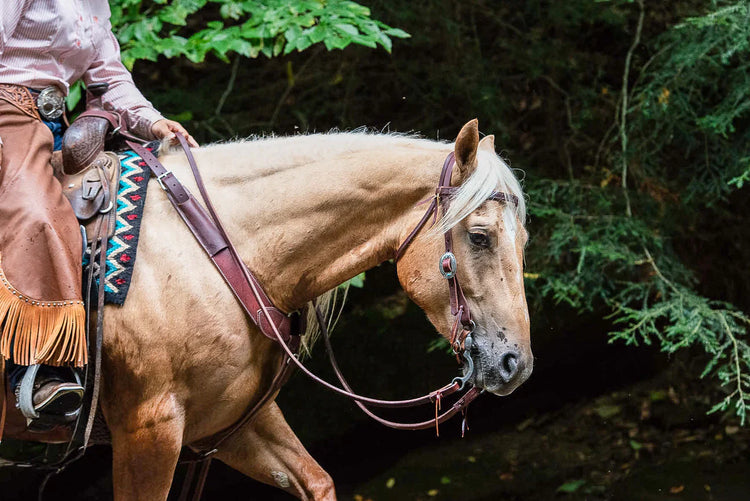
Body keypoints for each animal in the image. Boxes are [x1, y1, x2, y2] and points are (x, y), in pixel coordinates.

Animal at [34, 119, 532, 499]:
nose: (517, 365)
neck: (212, 250)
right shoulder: (149, 429)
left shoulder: (227, 424)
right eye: (480, 236)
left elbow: (317, 482)